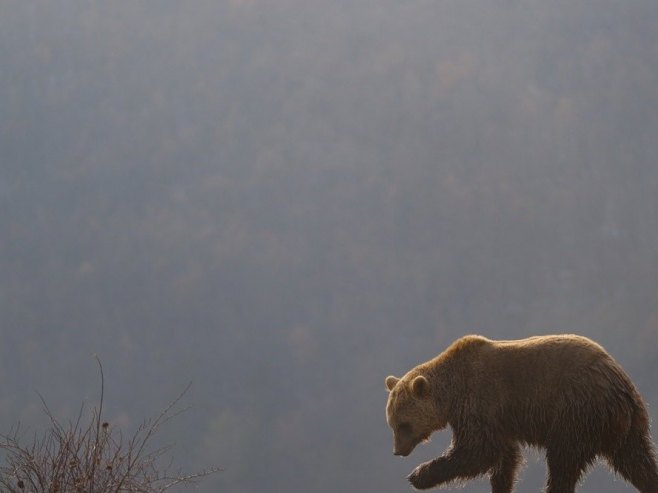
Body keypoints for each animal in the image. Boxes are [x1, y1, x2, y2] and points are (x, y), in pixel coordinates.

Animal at [382, 334, 656, 492]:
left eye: (404, 424)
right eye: (392, 424)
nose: (398, 451)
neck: (452, 393)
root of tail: (618, 381)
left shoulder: (481, 402)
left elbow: (478, 451)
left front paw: (418, 475)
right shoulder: (499, 419)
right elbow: (505, 458)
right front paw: (501, 485)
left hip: (576, 411)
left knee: (563, 461)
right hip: (627, 424)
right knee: (636, 460)